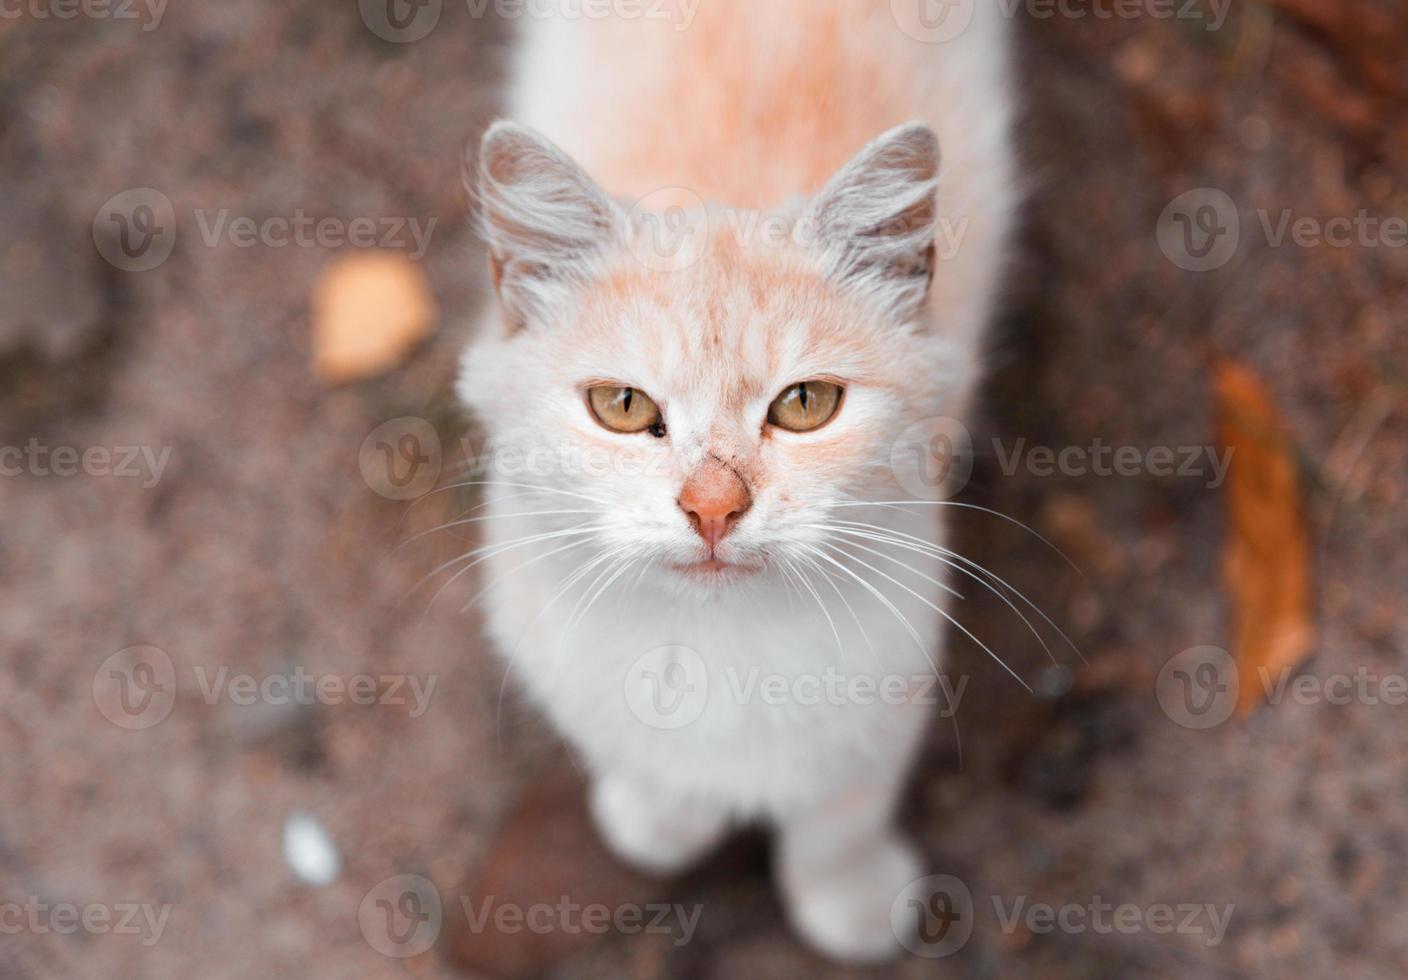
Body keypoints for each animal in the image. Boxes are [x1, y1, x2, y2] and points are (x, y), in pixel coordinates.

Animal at [456, 0, 1019, 963]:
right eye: (621, 405)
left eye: (804, 404)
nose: (713, 507)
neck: (718, 646)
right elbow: (640, 756)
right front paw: (662, 818)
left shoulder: (893, 667)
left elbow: (840, 815)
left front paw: (849, 900)